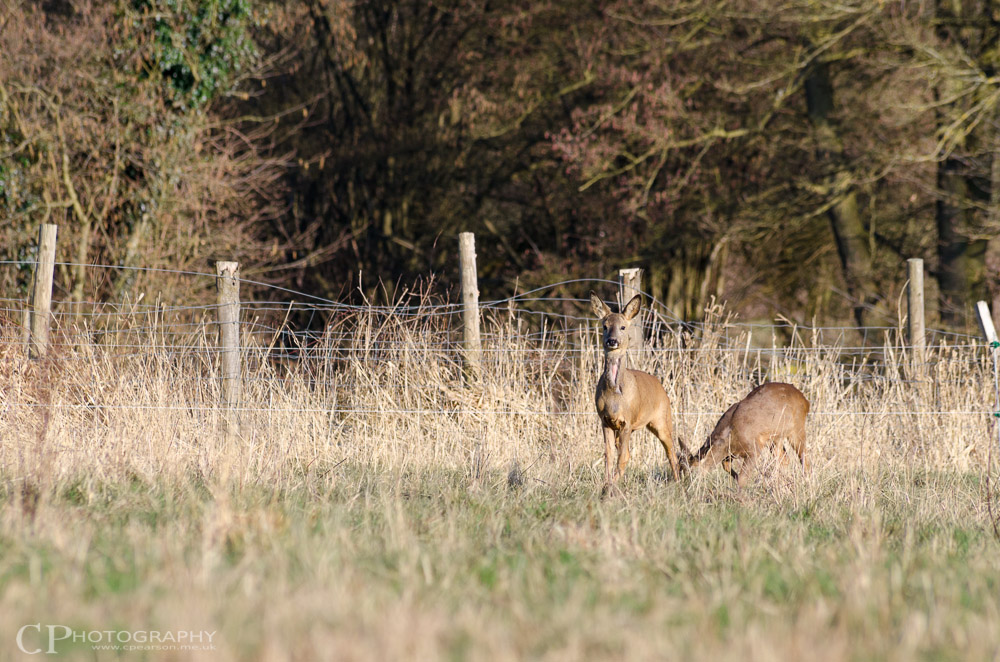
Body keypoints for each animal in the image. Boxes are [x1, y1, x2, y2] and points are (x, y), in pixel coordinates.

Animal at [584, 294, 688, 496]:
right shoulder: (605, 420)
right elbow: (609, 455)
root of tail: (659, 384)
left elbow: (623, 457)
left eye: (623, 327)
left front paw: (610, 488)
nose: (612, 341)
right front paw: (606, 486)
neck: (614, 397)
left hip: (662, 419)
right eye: (604, 326)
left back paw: (679, 483)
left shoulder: (627, 420)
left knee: (671, 450)